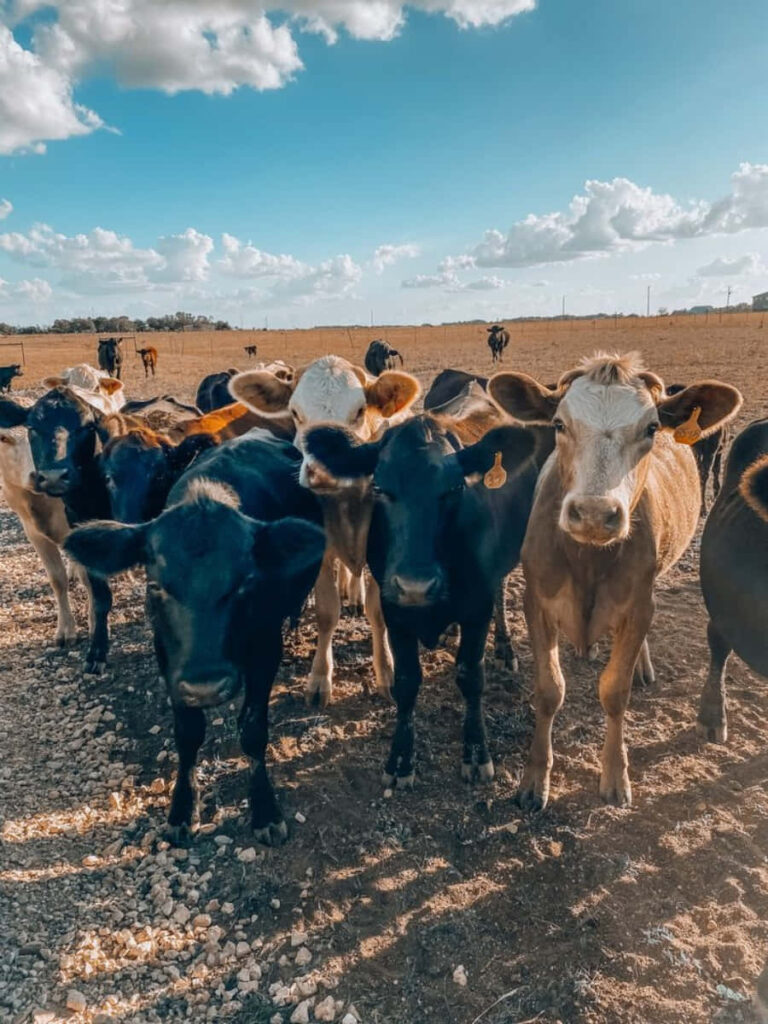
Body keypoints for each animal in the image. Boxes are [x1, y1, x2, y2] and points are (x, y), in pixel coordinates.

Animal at [65, 432, 326, 845]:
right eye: (155, 585)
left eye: (246, 582)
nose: (206, 686)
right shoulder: (167, 654)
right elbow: (188, 733)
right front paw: (183, 808)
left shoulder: (266, 647)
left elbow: (253, 731)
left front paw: (264, 808)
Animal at [230, 355, 420, 706]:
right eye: (295, 412)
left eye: (359, 411)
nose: (322, 469)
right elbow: (327, 613)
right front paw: (320, 678)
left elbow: (378, 612)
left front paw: (386, 671)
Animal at [303, 413, 546, 789]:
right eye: (379, 488)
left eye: (455, 489)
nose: (416, 585)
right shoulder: (395, 611)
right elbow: (407, 681)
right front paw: (400, 760)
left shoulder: (478, 606)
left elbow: (471, 677)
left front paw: (476, 754)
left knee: (503, 591)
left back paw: (504, 648)